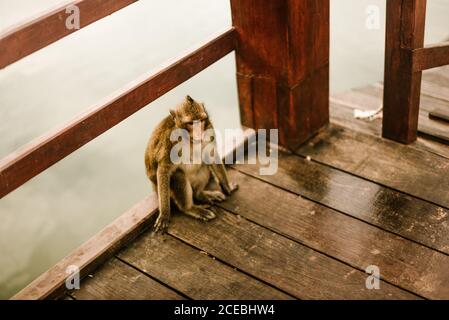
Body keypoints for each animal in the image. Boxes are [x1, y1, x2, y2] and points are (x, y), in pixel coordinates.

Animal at [146, 95, 238, 232]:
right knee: (178, 175)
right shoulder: (169, 142)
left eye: (201, 120)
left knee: (202, 166)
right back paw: (190, 208)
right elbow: (163, 169)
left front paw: (227, 187)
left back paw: (201, 194)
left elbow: (211, 154)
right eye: (190, 123)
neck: (189, 139)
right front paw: (164, 214)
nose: (199, 132)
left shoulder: (208, 128)